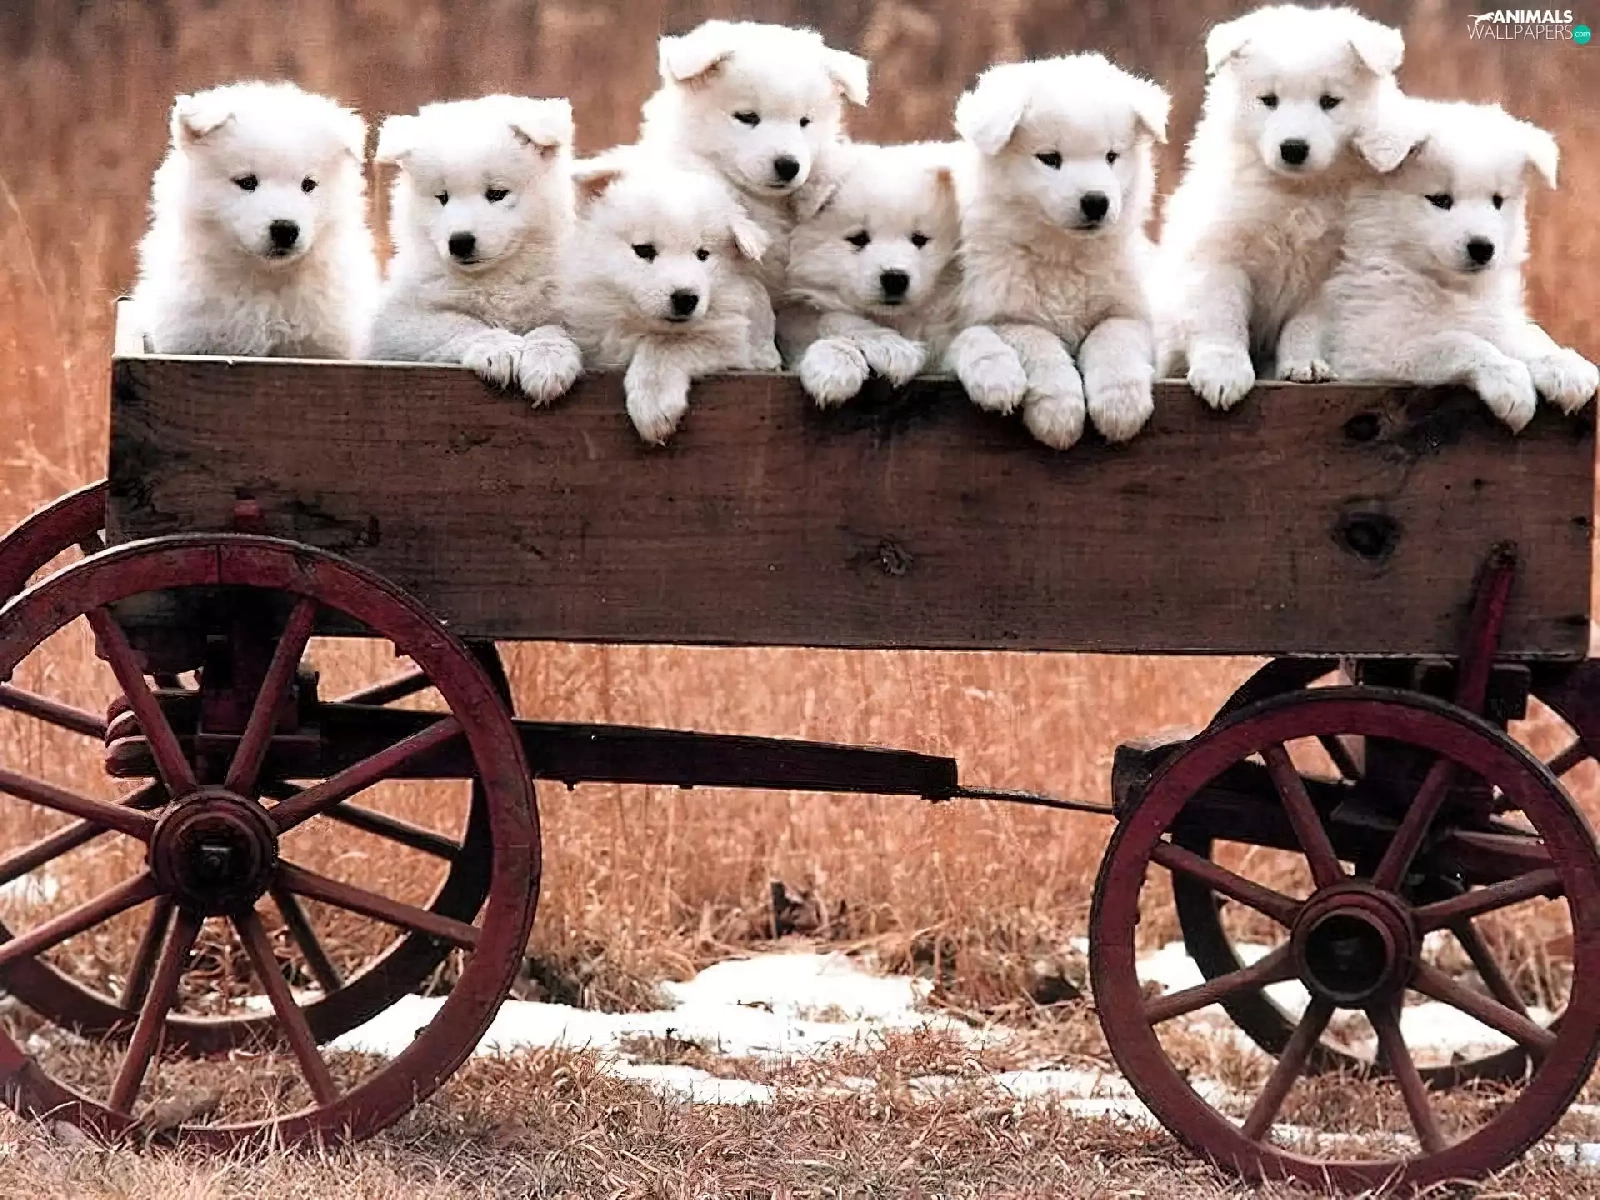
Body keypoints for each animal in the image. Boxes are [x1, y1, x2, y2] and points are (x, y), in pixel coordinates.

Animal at [369, 95, 582, 406]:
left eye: (496, 193)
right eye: (442, 197)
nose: (459, 241)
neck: (496, 279)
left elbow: (555, 326)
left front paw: (546, 360)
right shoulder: (395, 322)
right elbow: (459, 323)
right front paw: (499, 349)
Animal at [560, 151, 778, 444]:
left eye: (703, 254)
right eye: (644, 250)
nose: (686, 298)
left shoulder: (736, 345)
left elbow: (666, 344)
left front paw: (653, 406)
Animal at [943, 54, 1169, 449]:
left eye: (1112, 156)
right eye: (1049, 158)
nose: (1096, 201)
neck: (1065, 256)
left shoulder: (1132, 311)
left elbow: (1113, 337)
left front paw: (1120, 406)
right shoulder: (1004, 316)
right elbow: (1040, 343)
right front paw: (1058, 412)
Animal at [1157, 5, 1410, 407]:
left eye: (1329, 101)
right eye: (1269, 100)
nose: (1293, 148)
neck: (1296, 192)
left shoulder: (1333, 270)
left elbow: (1306, 323)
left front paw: (1305, 364)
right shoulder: (1218, 253)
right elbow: (1221, 317)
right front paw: (1223, 373)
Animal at [1312, 98, 1597, 430]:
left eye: (1497, 201)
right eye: (1440, 199)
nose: (1482, 247)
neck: (1447, 284)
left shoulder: (1490, 315)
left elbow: (1523, 337)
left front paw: (1563, 365)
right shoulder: (1367, 346)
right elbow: (1457, 341)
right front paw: (1509, 380)